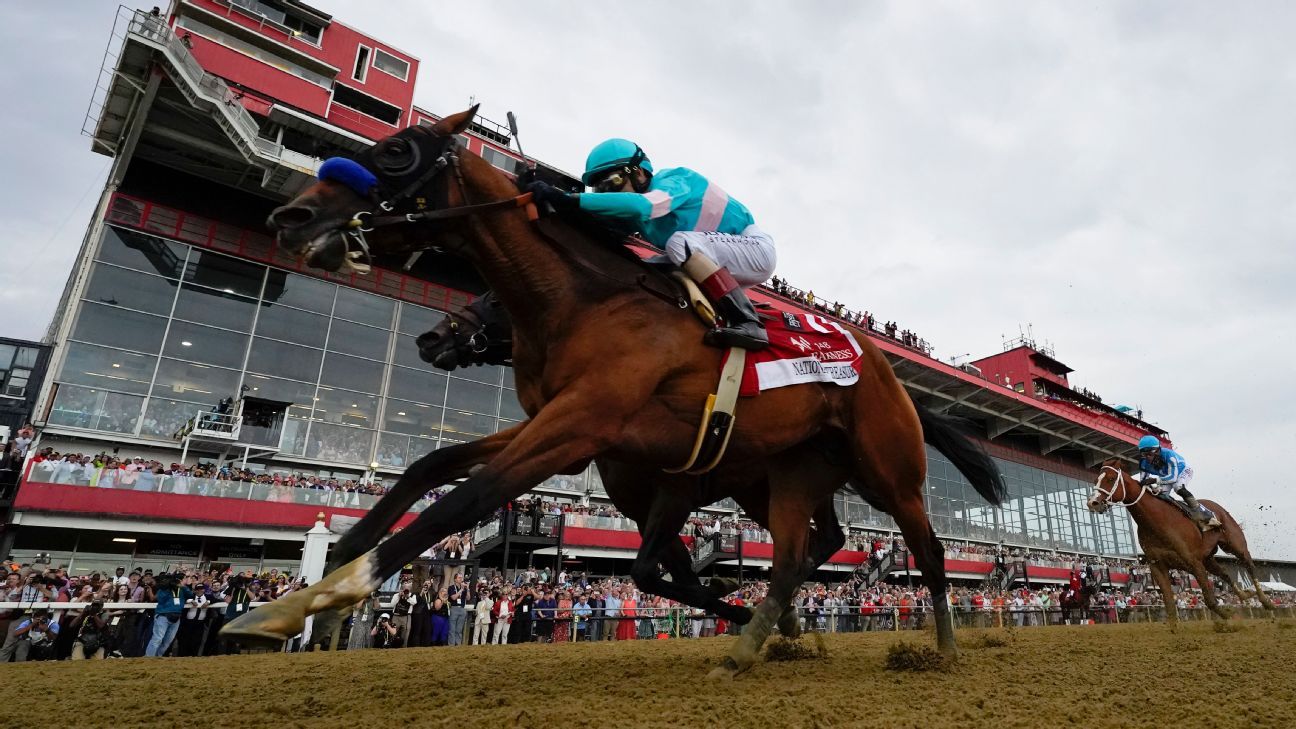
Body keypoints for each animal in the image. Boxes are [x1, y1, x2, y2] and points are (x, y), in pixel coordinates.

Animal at [222, 107, 1005, 674]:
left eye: (396, 152)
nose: (291, 217)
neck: (585, 298)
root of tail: (886, 369)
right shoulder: (572, 431)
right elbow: (431, 465)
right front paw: (317, 579)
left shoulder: (587, 428)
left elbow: (471, 500)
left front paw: (329, 592)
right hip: (793, 471)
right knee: (795, 555)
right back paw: (755, 638)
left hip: (888, 469)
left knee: (928, 552)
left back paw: (941, 649)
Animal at [1083, 459, 1275, 617]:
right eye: (1096, 480)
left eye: (1109, 479)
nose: (1093, 503)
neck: (1157, 521)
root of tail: (1218, 508)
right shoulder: (1158, 566)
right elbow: (1169, 605)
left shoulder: (1193, 563)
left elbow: (1211, 601)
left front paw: (1228, 623)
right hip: (1207, 558)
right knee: (1225, 573)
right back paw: (1245, 594)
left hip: (1235, 544)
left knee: (1249, 566)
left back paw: (1266, 601)